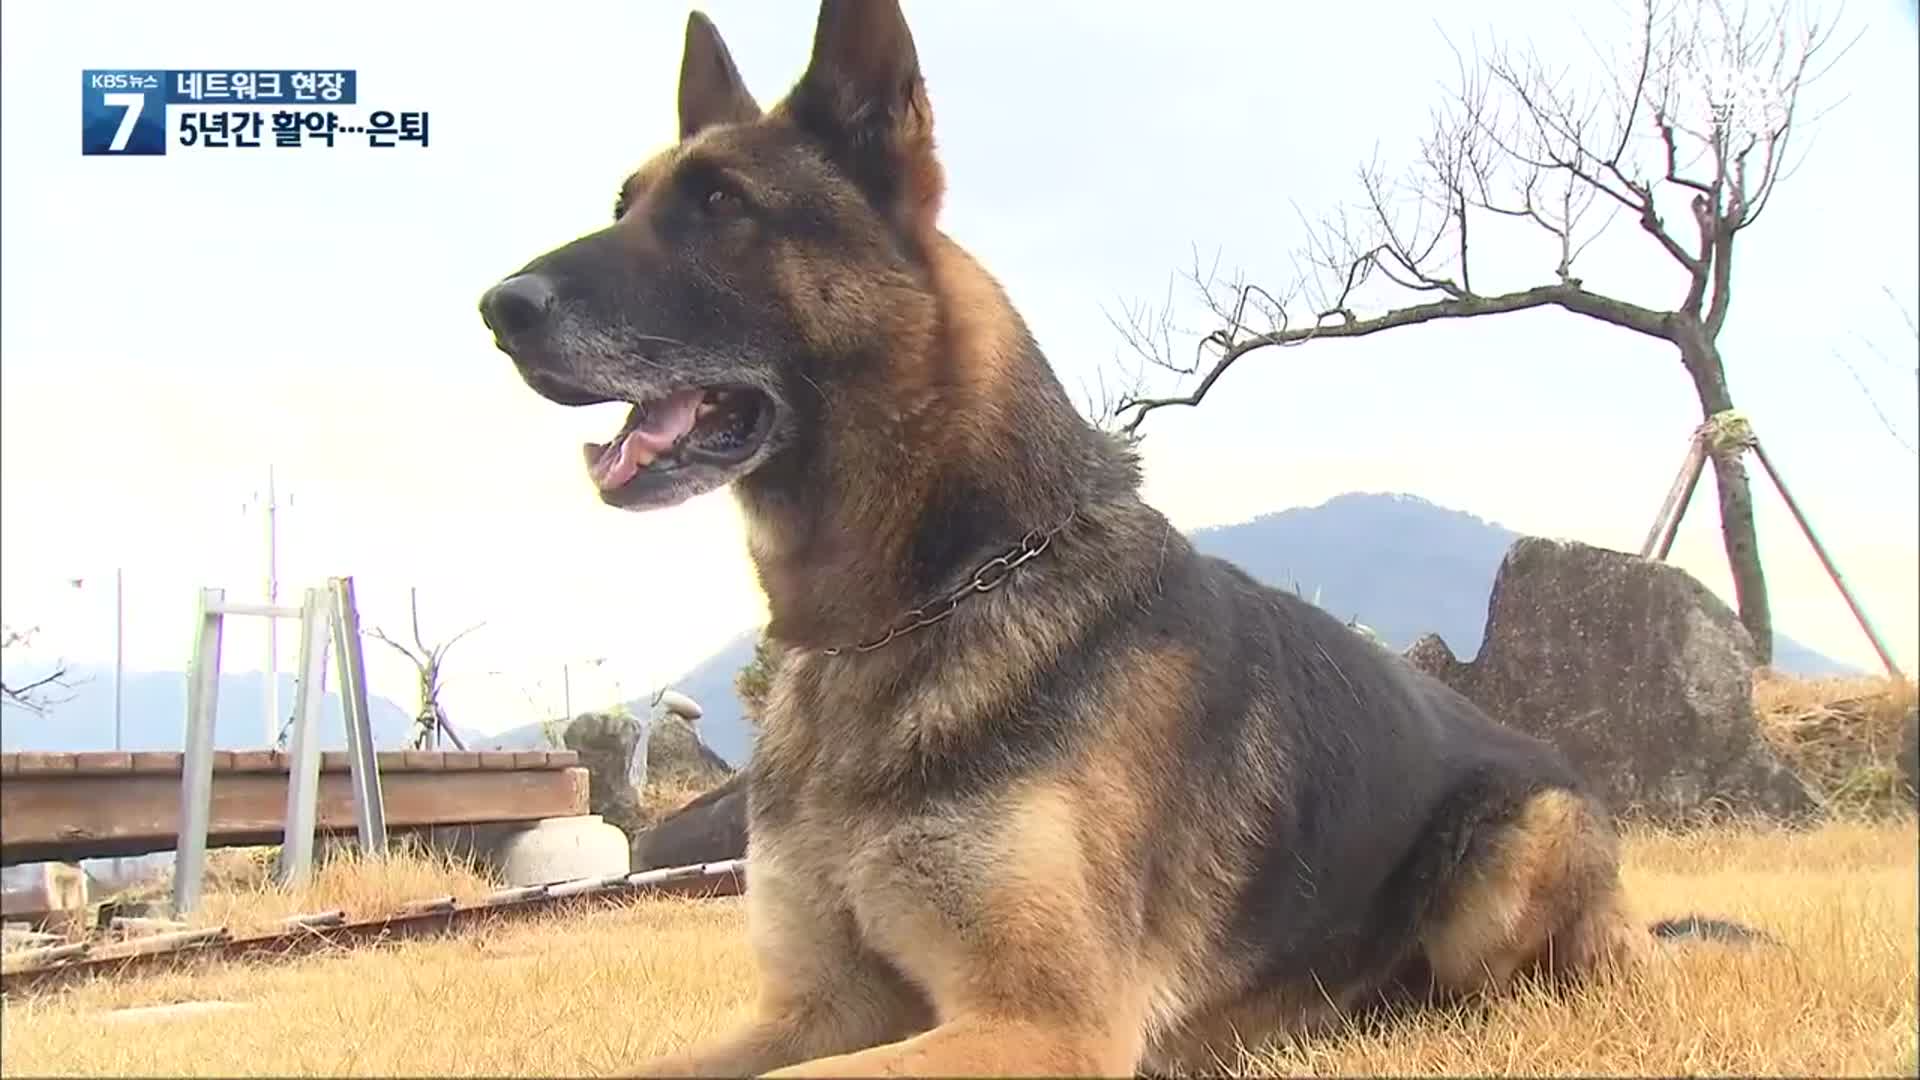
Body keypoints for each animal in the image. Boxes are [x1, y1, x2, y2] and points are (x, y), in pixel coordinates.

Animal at [476, 4, 1728, 1068]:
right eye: (628, 203)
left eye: (722, 206)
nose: (496, 311)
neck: (918, 606)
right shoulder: (815, 1010)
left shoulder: (1038, 1025)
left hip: (1516, 852)